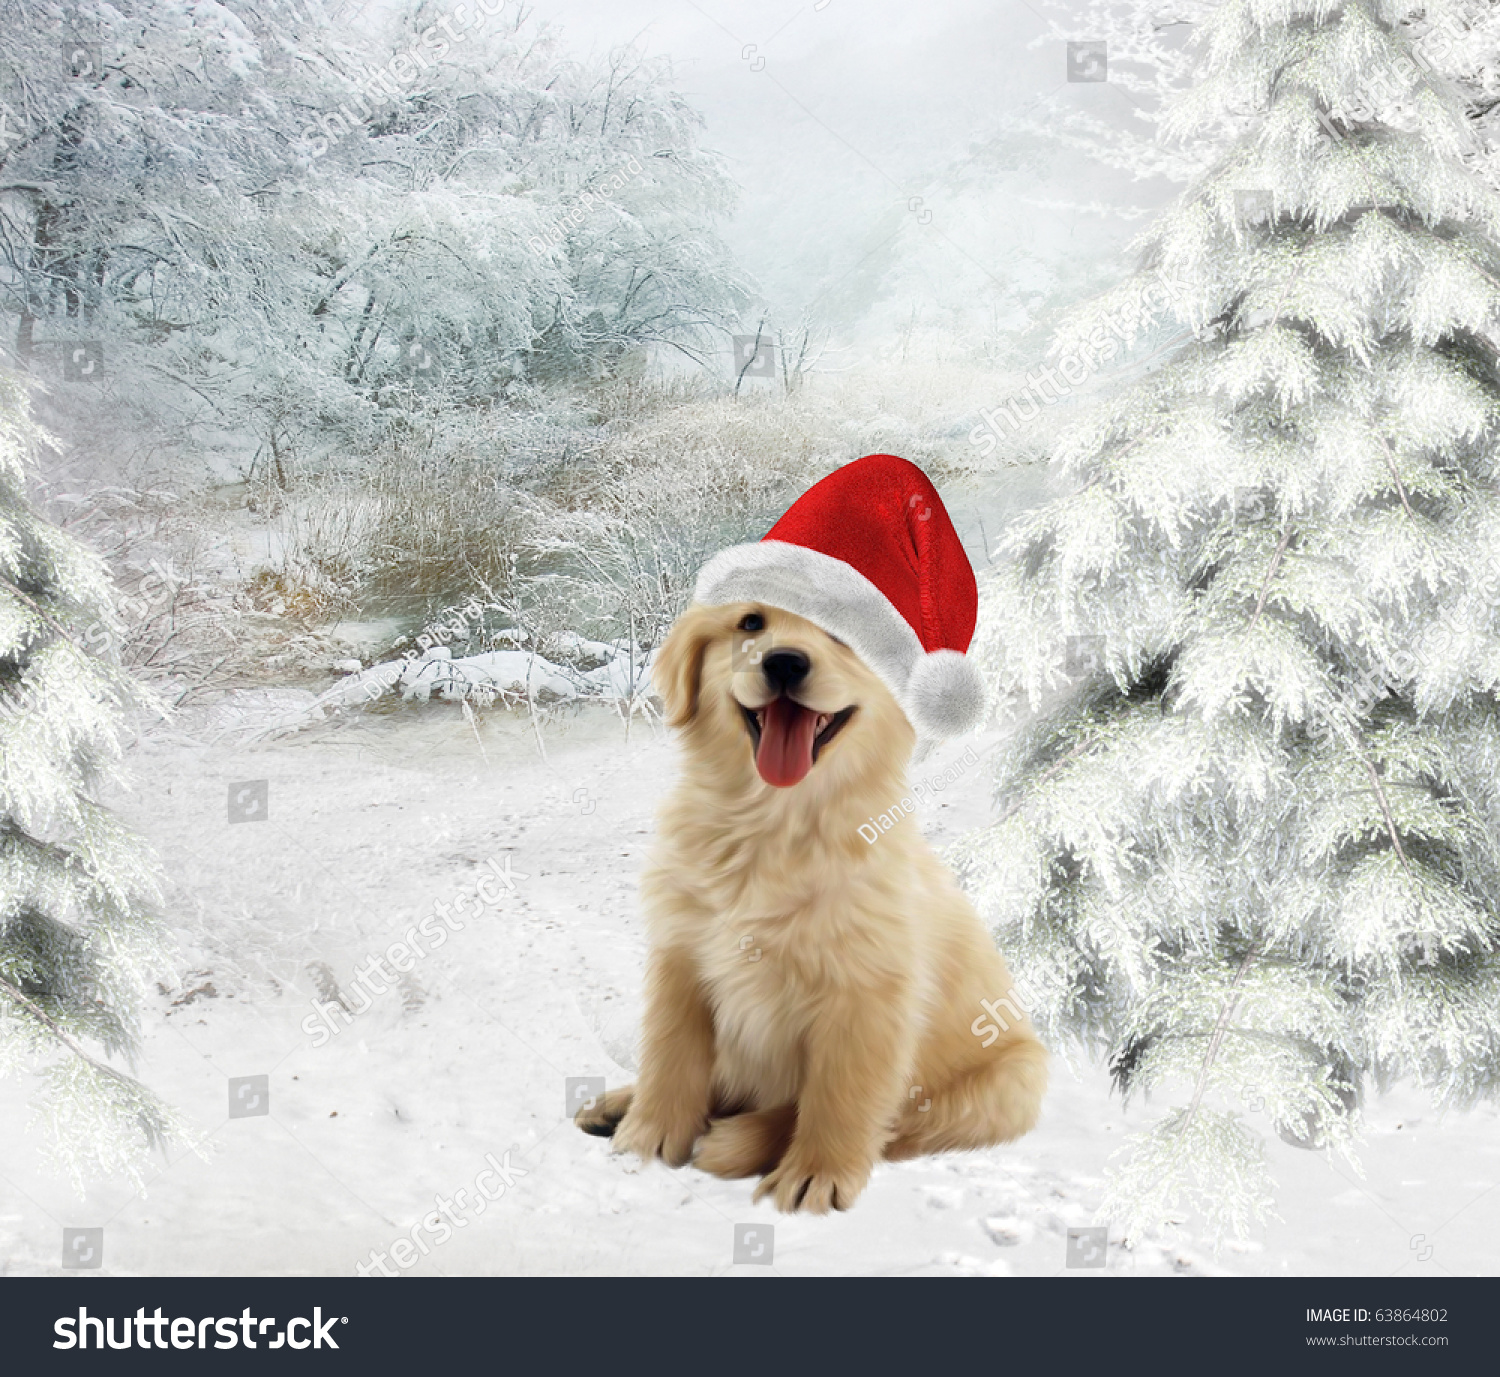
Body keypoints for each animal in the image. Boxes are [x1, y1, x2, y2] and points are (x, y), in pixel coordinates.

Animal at [579, 603, 1050, 1218]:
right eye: (750, 623)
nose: (784, 663)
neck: (773, 825)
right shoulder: (681, 956)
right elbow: (670, 1055)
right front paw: (647, 1138)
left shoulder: (865, 992)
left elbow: (839, 1095)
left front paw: (815, 1175)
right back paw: (619, 1105)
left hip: (1009, 1081)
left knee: (897, 1120)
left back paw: (739, 1139)